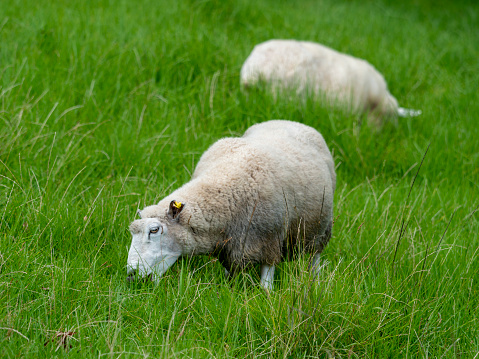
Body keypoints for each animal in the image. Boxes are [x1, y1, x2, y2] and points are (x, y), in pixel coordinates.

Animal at [127, 119, 338, 292]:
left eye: (154, 230)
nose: (131, 275)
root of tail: (289, 121)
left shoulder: (268, 239)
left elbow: (266, 280)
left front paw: (266, 295)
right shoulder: (229, 246)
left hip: (318, 230)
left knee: (313, 259)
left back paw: (314, 281)